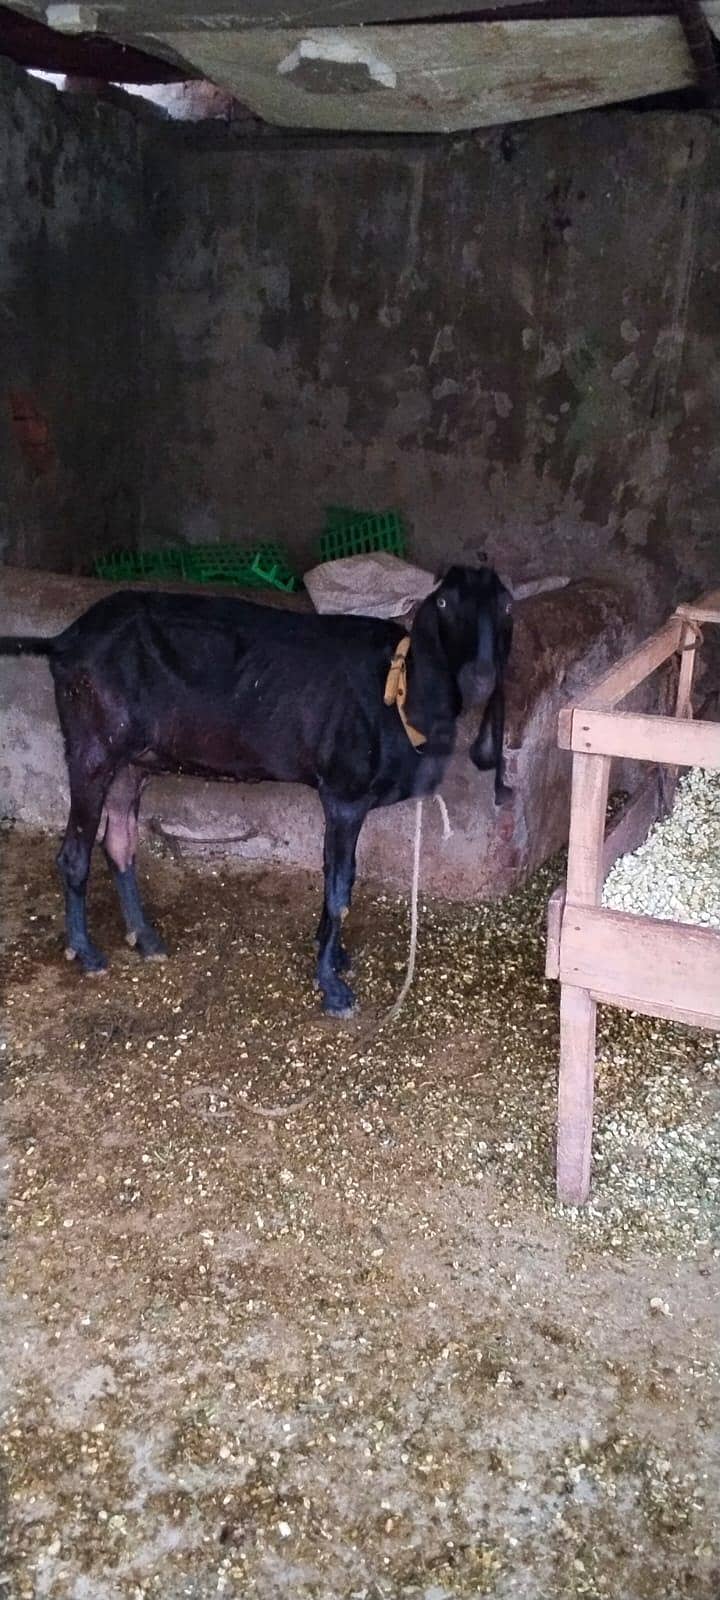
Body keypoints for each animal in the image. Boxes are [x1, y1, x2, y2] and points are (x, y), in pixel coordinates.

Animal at [0, 565, 512, 1015]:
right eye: (443, 602)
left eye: (506, 605)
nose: (482, 677)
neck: (398, 688)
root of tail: (64, 641)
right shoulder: (344, 793)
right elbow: (340, 886)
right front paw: (332, 986)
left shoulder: (342, 799)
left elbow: (336, 875)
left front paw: (333, 955)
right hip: (92, 745)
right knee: (74, 853)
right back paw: (86, 952)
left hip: (132, 759)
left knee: (120, 842)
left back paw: (145, 939)